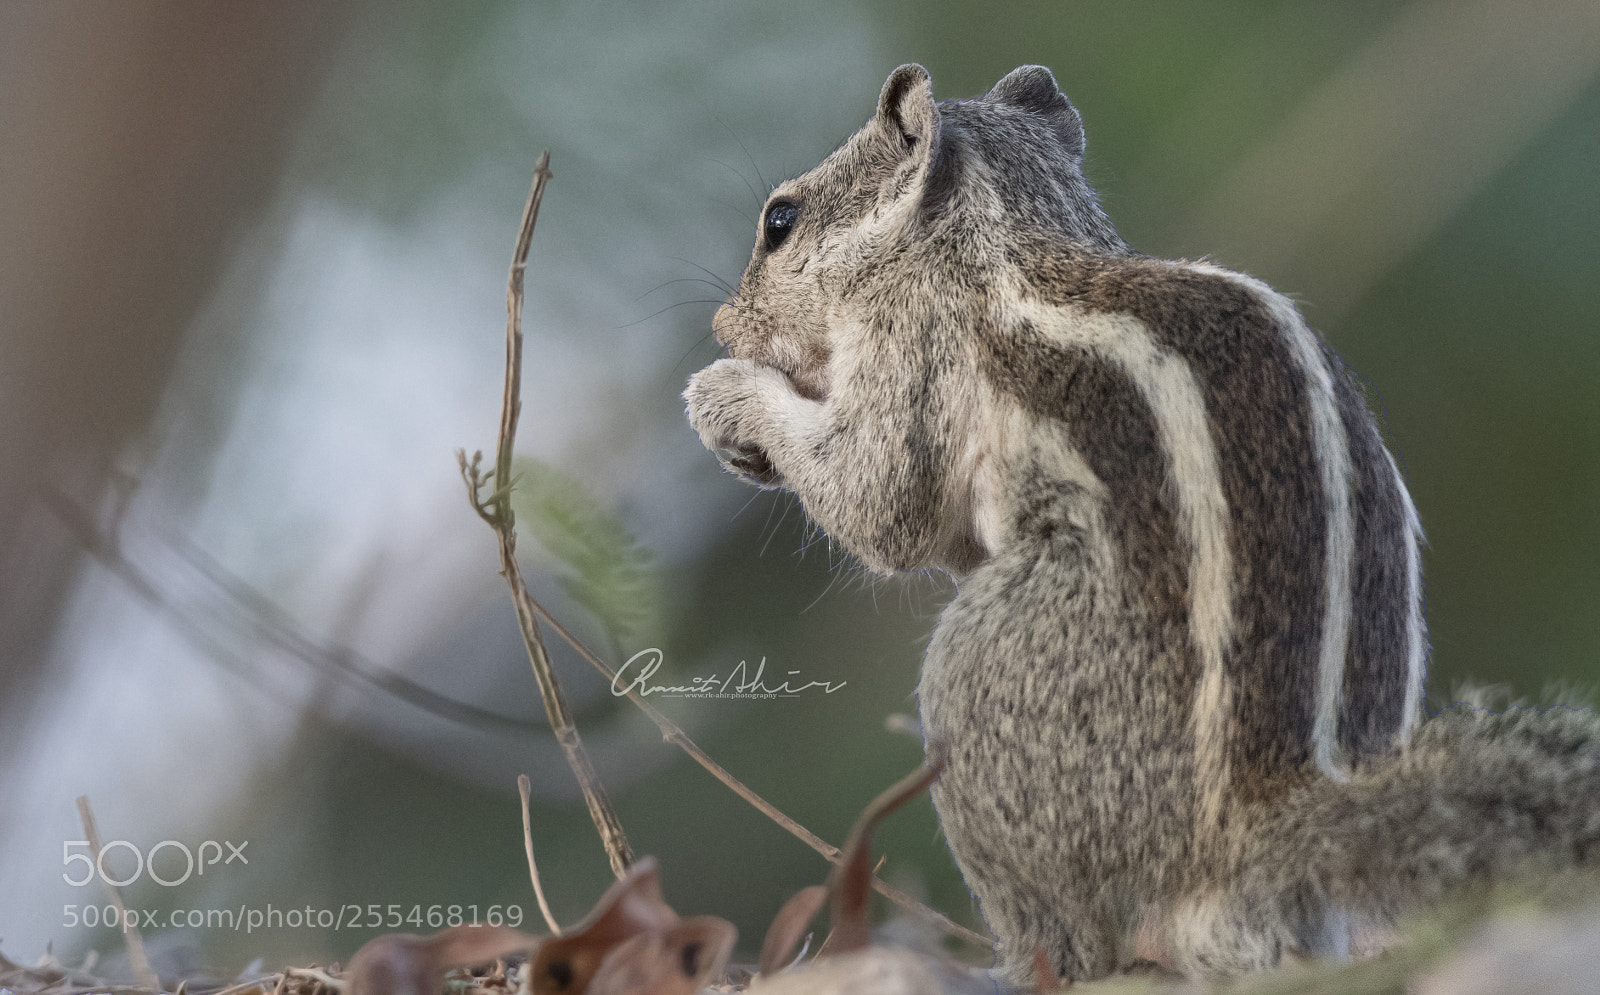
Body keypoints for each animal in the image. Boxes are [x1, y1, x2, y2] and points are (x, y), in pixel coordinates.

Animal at [684, 64, 1600, 983]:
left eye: (780, 220)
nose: (723, 322)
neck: (992, 232)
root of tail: (1252, 836)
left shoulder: (914, 352)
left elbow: (880, 499)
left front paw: (722, 395)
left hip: (993, 679)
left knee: (1071, 933)